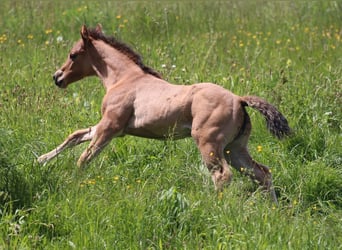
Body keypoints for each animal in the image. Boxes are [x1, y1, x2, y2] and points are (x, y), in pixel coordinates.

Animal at [39, 24, 292, 202]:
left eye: (73, 54)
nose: (57, 77)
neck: (124, 79)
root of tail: (239, 100)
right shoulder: (111, 128)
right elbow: (76, 135)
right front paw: (41, 159)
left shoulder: (110, 127)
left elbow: (84, 157)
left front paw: (73, 183)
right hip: (235, 148)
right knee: (262, 173)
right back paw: (273, 209)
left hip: (209, 145)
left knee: (222, 175)